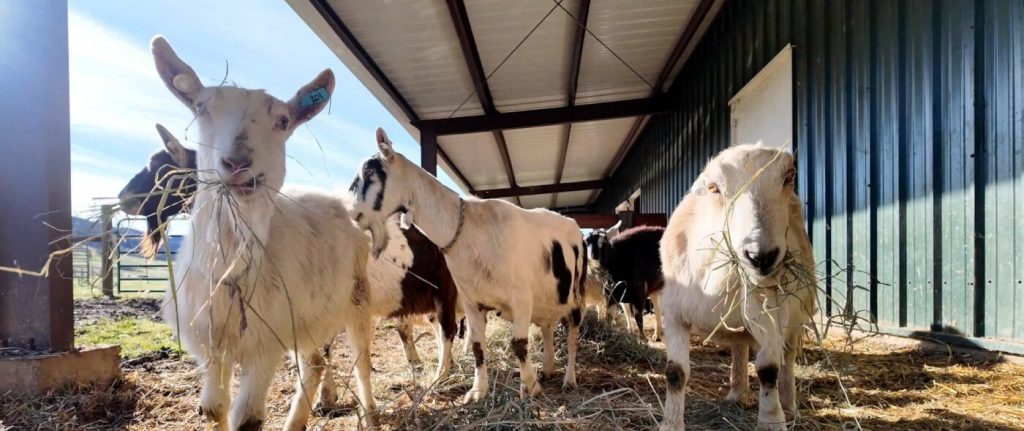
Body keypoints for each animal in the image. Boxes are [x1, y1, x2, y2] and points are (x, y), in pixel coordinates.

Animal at [151, 36, 376, 430]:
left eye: (283, 121)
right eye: (200, 107)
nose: (237, 162)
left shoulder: (265, 343)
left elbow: (248, 419)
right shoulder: (211, 344)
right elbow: (214, 407)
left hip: (357, 298)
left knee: (362, 363)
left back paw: (371, 415)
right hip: (308, 316)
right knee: (315, 364)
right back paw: (297, 421)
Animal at [349, 128, 587, 403]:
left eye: (370, 171)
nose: (351, 214)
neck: (469, 231)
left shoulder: (520, 298)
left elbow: (518, 344)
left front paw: (530, 387)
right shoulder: (472, 301)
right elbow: (476, 345)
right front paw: (477, 390)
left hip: (576, 296)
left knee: (572, 337)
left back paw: (569, 379)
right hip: (546, 300)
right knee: (547, 328)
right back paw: (548, 369)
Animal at [658, 145, 817, 431]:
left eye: (789, 177)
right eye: (714, 188)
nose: (761, 257)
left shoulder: (770, 311)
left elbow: (769, 369)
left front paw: (772, 421)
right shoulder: (674, 313)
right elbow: (675, 372)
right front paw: (671, 423)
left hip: (795, 316)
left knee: (788, 357)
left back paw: (789, 407)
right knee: (740, 347)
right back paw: (737, 392)